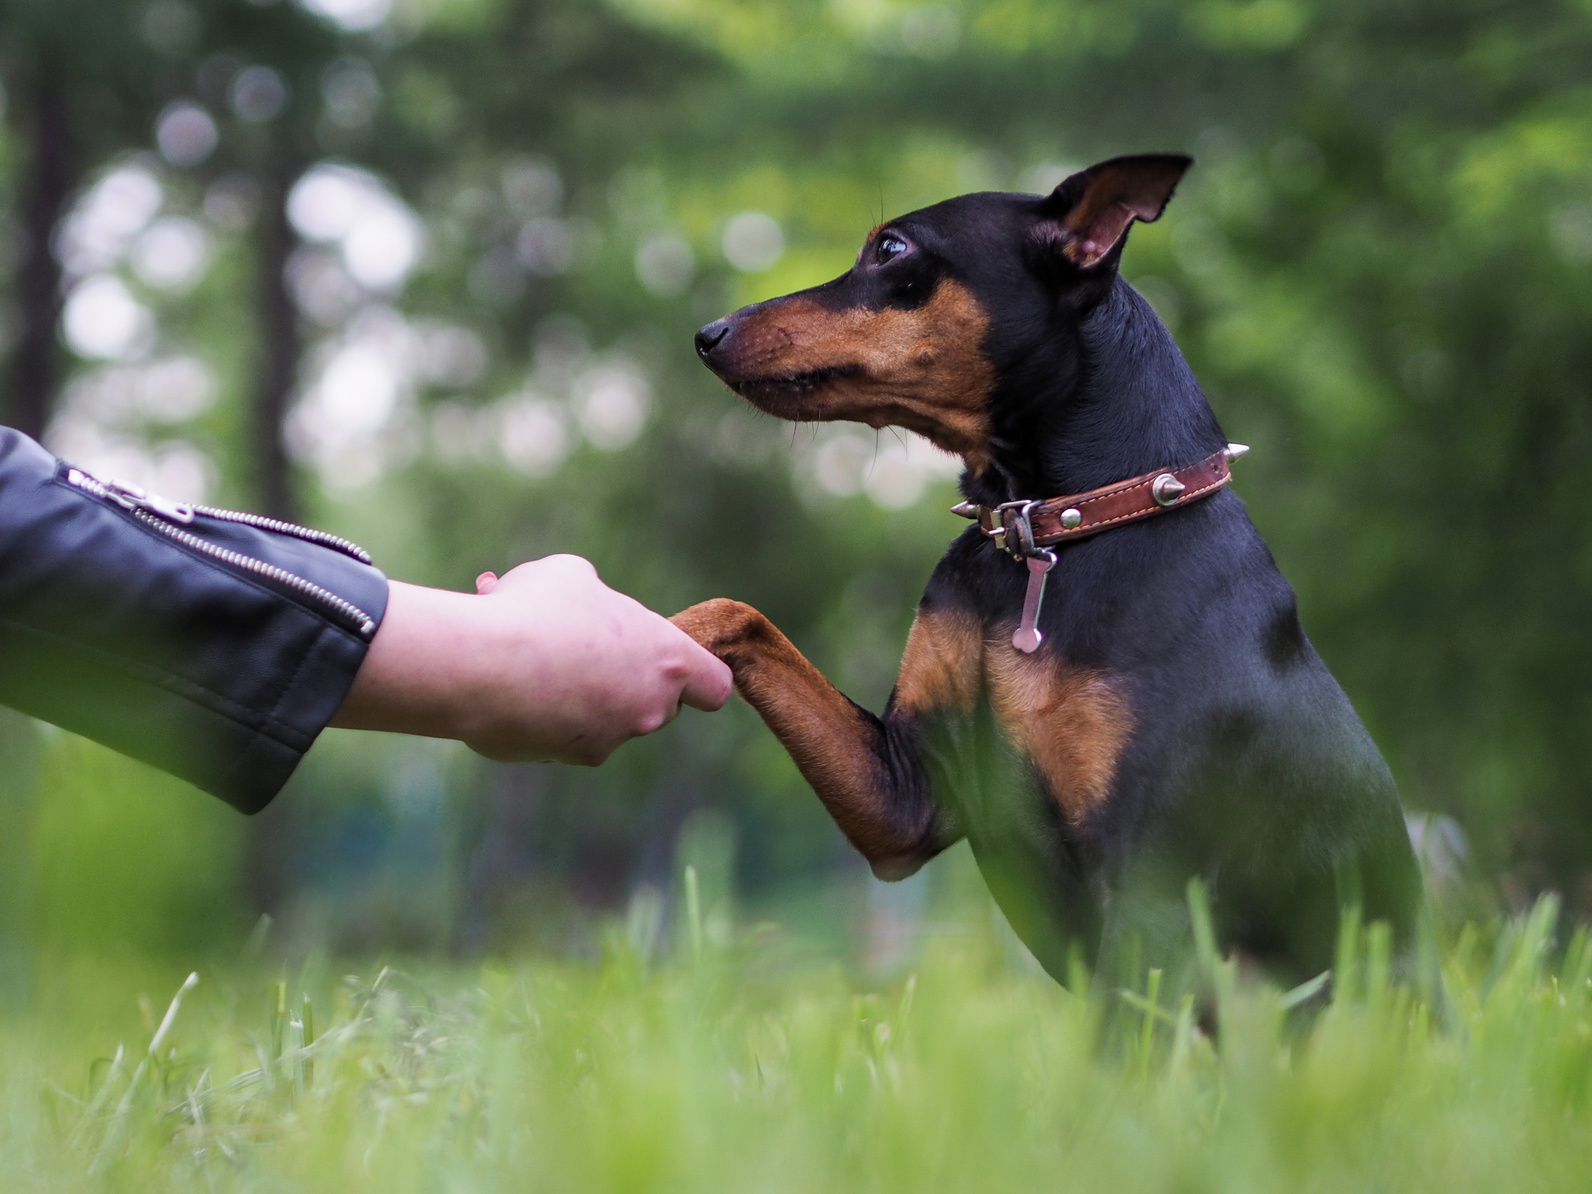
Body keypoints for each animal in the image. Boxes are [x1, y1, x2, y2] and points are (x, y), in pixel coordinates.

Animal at [671, 154, 1432, 1006]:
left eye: (892, 249)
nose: (708, 334)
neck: (1048, 532)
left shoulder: (1149, 883)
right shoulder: (904, 800)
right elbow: (733, 612)